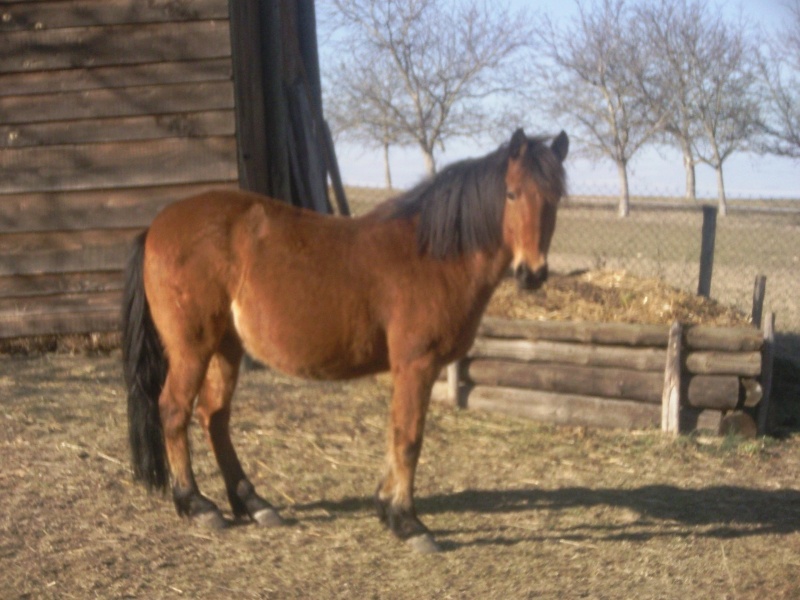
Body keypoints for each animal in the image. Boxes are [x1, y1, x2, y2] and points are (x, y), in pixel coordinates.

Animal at [122, 127, 564, 552]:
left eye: (556, 196)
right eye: (511, 193)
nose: (532, 274)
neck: (432, 255)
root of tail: (156, 226)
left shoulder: (407, 370)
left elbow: (395, 432)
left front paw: (385, 506)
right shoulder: (416, 364)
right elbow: (409, 438)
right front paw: (407, 521)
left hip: (226, 349)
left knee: (214, 417)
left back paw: (252, 503)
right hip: (192, 349)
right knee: (174, 410)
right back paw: (195, 503)